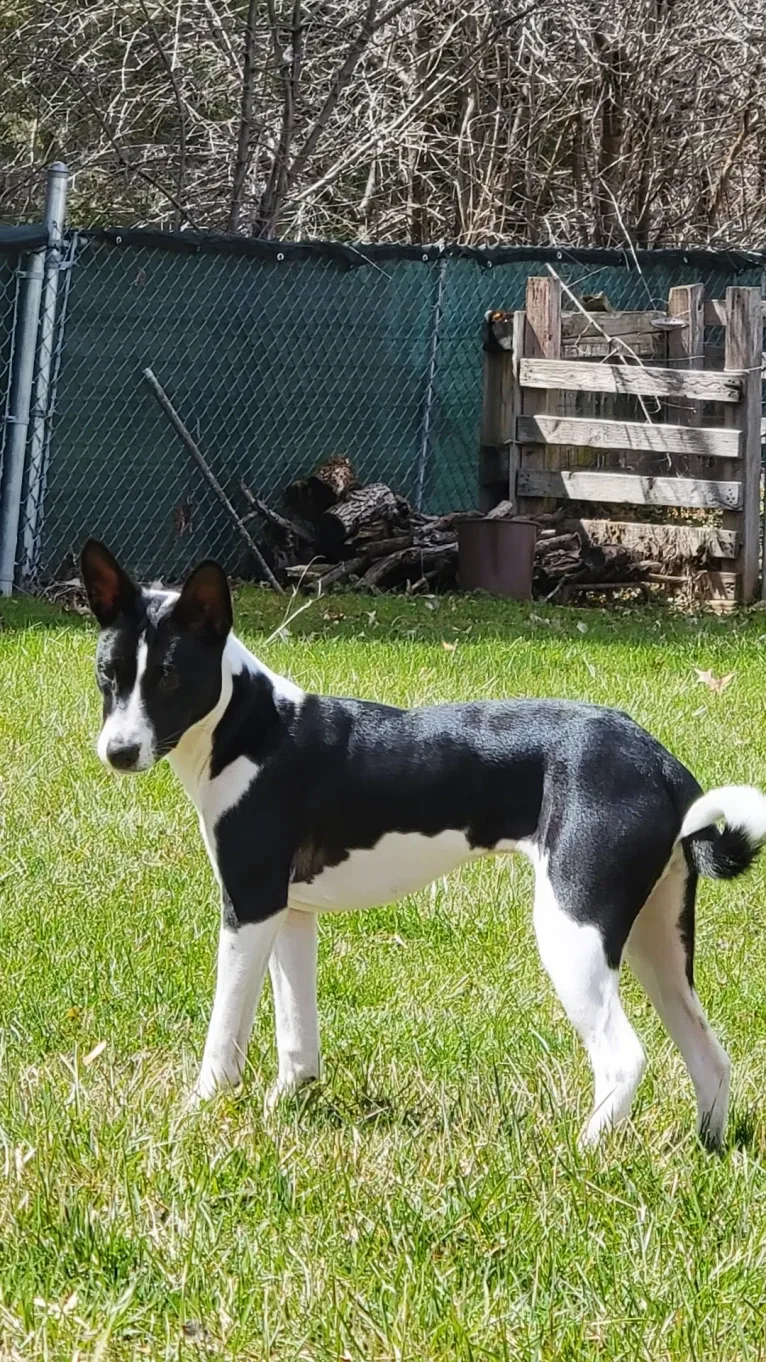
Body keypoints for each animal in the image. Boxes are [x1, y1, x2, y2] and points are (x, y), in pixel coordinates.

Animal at [79, 542, 766, 1149]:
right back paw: (708, 1148)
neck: (254, 729)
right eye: (108, 674)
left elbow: (226, 1032)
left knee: (624, 1058)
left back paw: (580, 1154)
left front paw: (200, 1112)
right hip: (658, 942)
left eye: (169, 678)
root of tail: (658, 759)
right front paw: (286, 1106)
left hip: (573, 930)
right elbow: (297, 1038)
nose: (119, 752)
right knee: (710, 1057)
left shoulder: (248, 908)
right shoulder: (290, 913)